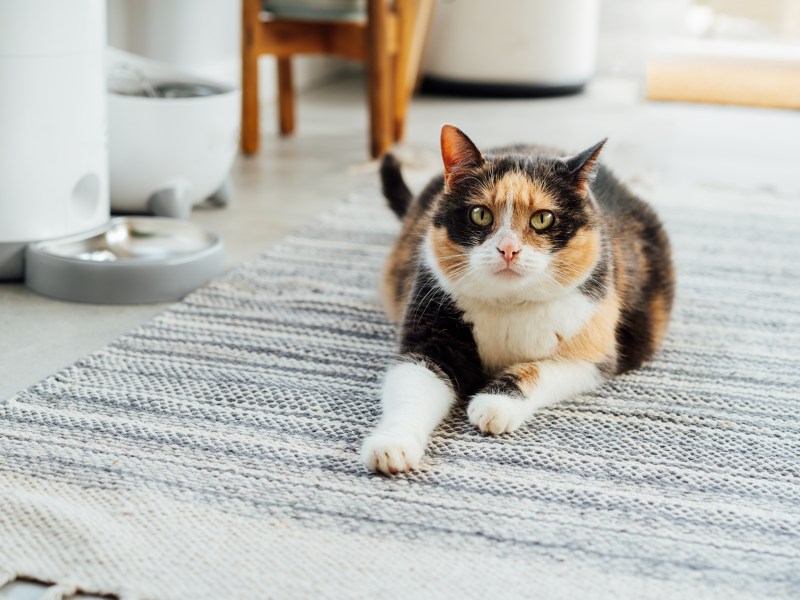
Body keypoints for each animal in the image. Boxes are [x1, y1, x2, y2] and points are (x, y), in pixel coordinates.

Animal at [362, 125, 676, 474]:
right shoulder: (429, 330)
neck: (508, 305)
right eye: (480, 214)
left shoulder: (593, 355)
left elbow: (536, 370)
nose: (509, 249)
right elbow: (412, 388)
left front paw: (494, 404)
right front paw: (392, 445)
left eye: (543, 219)